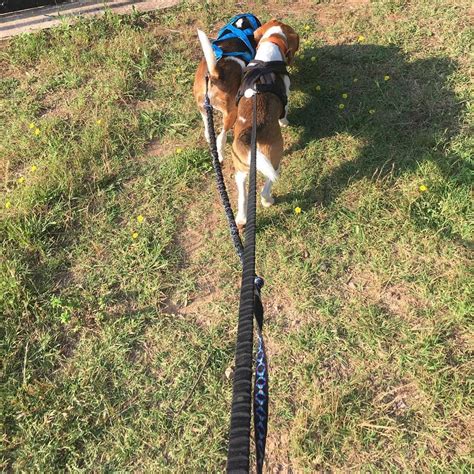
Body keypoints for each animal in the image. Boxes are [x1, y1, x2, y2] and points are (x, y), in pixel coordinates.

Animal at [191, 13, 262, 162]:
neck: (239, 29)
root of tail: (215, 74)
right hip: (231, 113)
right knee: (220, 137)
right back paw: (221, 154)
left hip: (202, 106)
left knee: (207, 128)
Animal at [231, 18, 300, 226]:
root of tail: (249, 135)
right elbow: (285, 112)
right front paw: (286, 122)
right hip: (275, 160)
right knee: (264, 189)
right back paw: (268, 200)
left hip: (240, 172)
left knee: (243, 198)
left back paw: (242, 218)